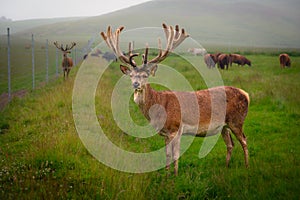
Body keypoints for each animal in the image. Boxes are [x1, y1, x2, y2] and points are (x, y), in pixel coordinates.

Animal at [101, 23, 251, 175]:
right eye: (131, 75)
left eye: (145, 75)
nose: (136, 84)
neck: (158, 107)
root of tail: (246, 94)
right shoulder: (166, 133)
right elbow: (167, 154)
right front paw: (167, 174)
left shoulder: (176, 128)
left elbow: (176, 154)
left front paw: (176, 174)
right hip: (224, 126)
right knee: (230, 144)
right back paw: (226, 166)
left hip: (237, 120)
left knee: (244, 140)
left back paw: (246, 166)